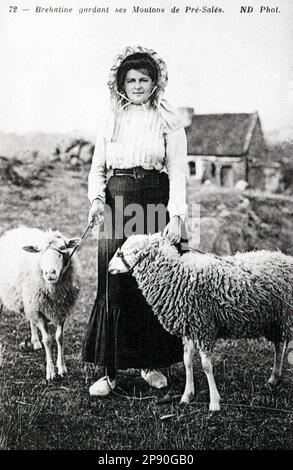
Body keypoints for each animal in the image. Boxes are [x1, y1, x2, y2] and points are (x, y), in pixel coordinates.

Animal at [0, 228, 80, 382]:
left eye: (62, 248)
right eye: (39, 251)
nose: (50, 273)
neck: (53, 291)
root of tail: (16, 229)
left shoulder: (60, 310)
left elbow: (59, 338)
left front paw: (62, 368)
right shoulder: (39, 311)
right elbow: (48, 340)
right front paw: (50, 372)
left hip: (31, 302)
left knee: (31, 320)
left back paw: (35, 342)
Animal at [109, 235, 292, 412]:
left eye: (132, 251)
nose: (109, 267)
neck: (177, 276)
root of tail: (285, 258)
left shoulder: (204, 327)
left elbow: (206, 366)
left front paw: (214, 402)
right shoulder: (190, 327)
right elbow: (187, 361)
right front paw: (187, 395)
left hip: (284, 316)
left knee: (281, 344)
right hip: (275, 321)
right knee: (279, 345)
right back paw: (274, 378)